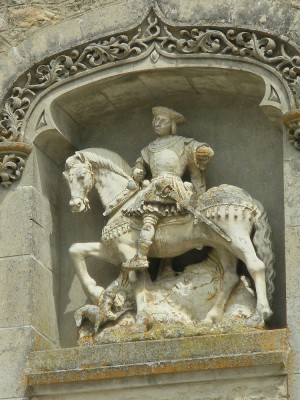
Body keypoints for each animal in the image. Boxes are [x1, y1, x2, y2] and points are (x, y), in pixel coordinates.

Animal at [63, 148, 274, 328]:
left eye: (81, 176)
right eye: (68, 179)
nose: (75, 205)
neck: (124, 205)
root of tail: (249, 199)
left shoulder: (128, 251)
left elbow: (136, 280)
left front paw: (140, 320)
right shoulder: (113, 251)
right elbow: (75, 249)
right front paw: (95, 291)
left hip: (237, 239)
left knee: (256, 266)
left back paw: (259, 316)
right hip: (223, 245)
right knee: (230, 277)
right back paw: (210, 318)